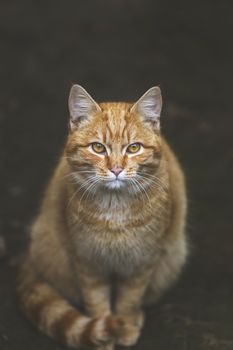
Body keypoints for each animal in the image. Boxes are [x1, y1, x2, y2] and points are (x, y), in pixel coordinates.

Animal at [16, 85, 187, 350]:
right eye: (97, 148)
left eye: (134, 148)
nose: (116, 169)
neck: (114, 210)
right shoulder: (87, 260)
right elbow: (96, 301)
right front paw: (103, 337)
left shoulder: (141, 261)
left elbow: (129, 298)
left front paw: (124, 325)